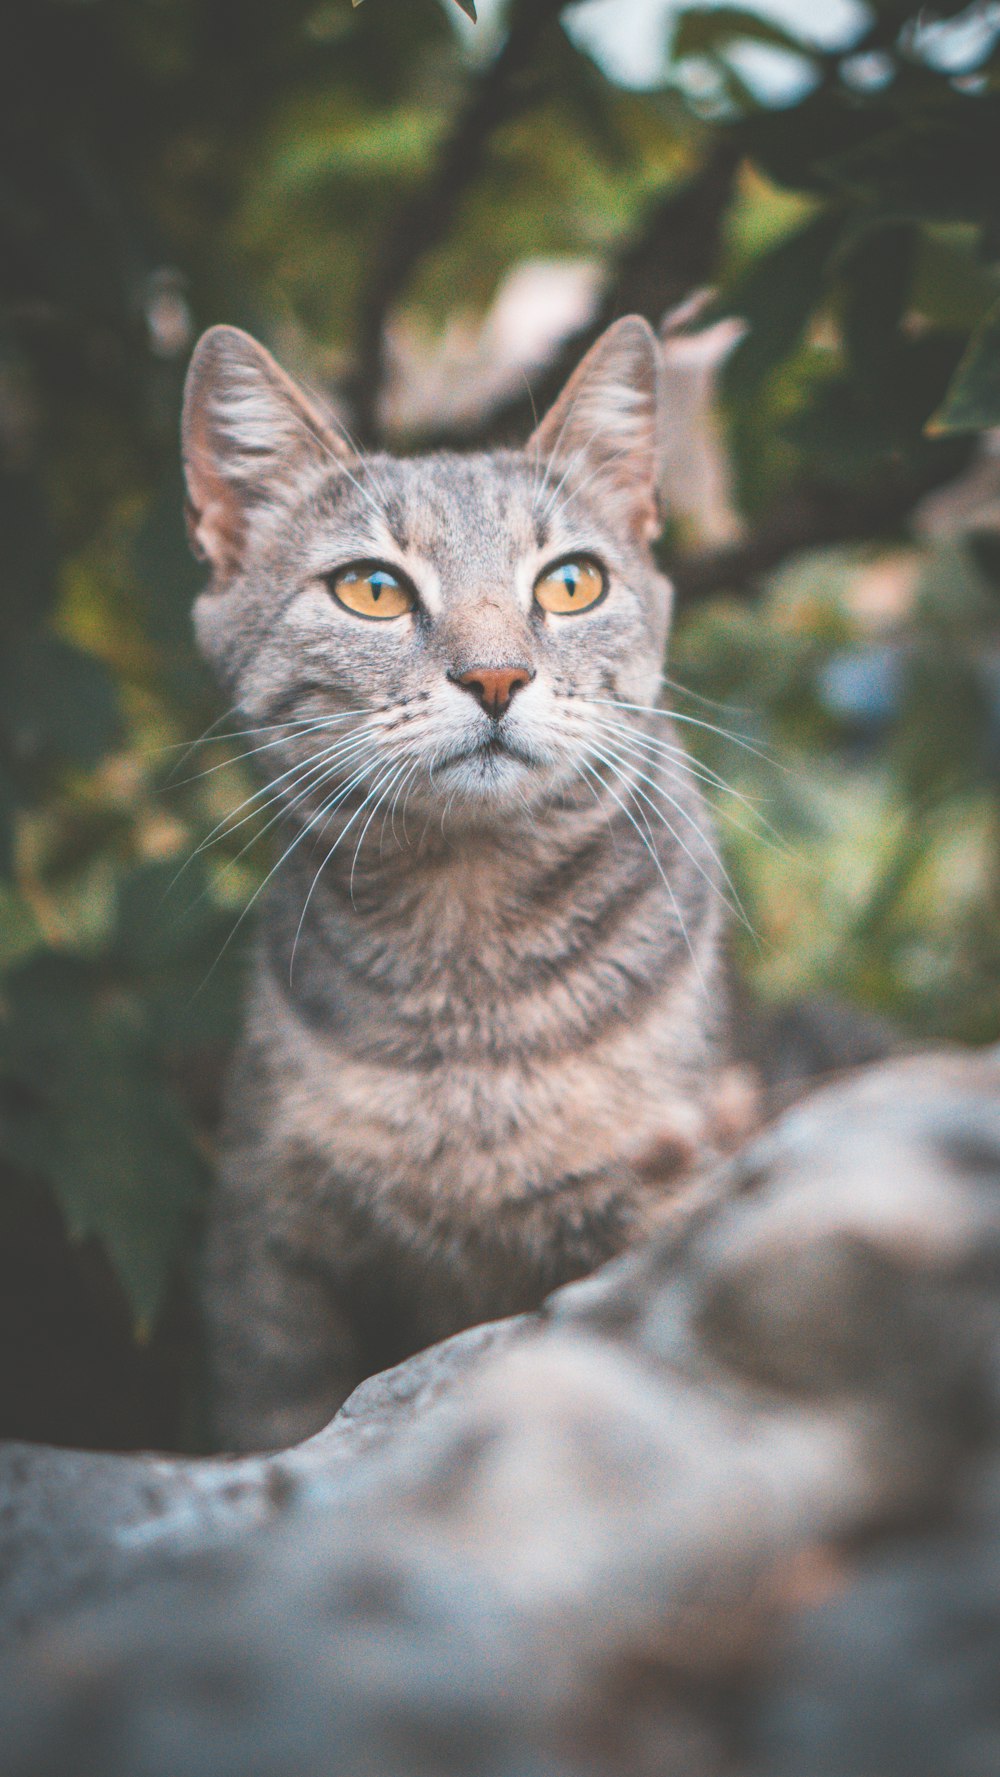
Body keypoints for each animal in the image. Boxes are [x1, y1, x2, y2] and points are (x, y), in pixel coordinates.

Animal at [182, 312, 728, 1450]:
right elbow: (276, 1420)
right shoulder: (266, 1246)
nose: (496, 676)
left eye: (571, 581)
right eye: (372, 589)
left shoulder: (658, 1202)